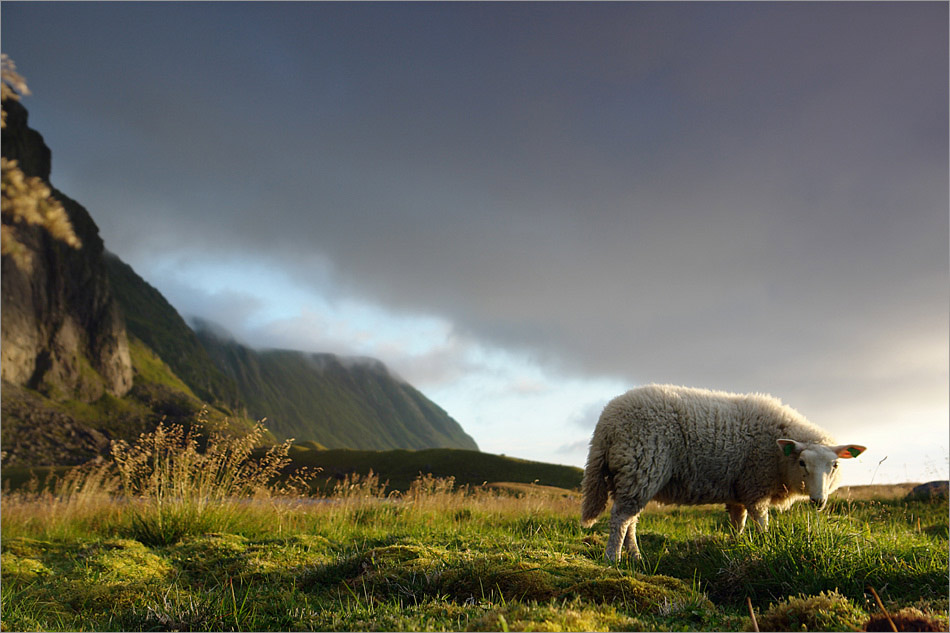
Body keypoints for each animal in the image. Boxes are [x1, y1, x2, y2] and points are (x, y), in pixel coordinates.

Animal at [580, 382, 872, 560]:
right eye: (803, 463)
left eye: (834, 466)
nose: (818, 501)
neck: (779, 456)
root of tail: (606, 423)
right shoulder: (755, 486)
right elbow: (761, 522)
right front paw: (765, 544)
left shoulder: (738, 491)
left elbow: (737, 523)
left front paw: (737, 544)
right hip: (640, 466)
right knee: (621, 518)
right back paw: (613, 558)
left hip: (633, 475)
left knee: (631, 519)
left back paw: (635, 556)